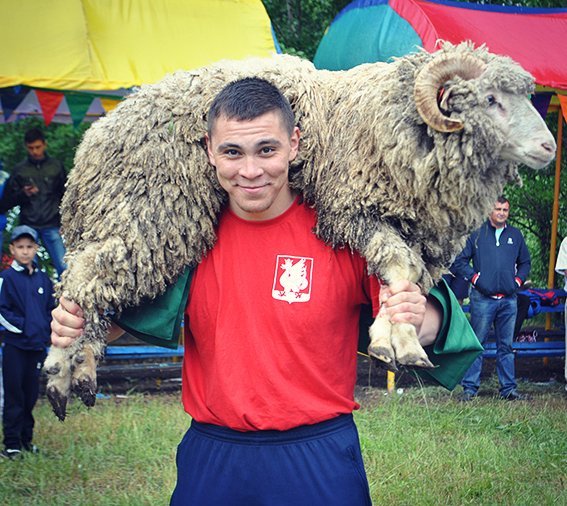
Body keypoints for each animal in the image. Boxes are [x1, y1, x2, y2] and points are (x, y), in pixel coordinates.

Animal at [44, 42, 556, 420]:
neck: (399, 122)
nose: (549, 147)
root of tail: (92, 142)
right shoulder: (348, 208)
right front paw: (399, 342)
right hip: (146, 212)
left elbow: (399, 277)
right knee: (81, 280)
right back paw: (58, 369)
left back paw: (82, 373)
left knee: (93, 297)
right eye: (490, 99)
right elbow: (398, 264)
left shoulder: (405, 230)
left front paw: (395, 336)